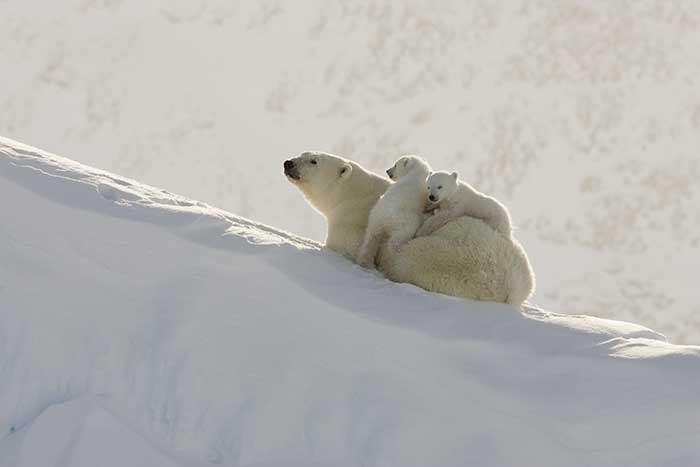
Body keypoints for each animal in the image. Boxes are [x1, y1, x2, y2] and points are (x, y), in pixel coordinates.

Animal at [284, 151, 536, 308]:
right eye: (304, 153)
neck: (353, 196)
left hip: (444, 259)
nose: (288, 163)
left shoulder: (352, 225)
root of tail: (514, 290)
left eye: (314, 161)